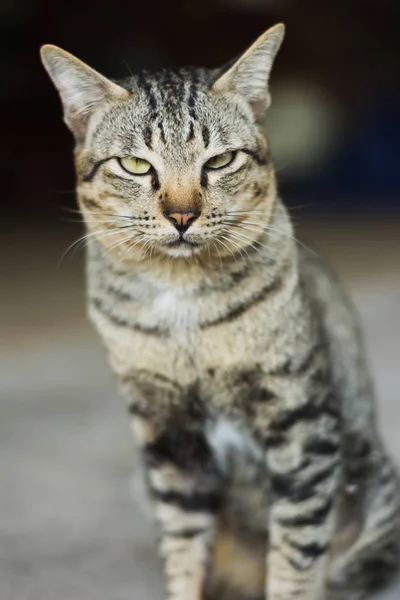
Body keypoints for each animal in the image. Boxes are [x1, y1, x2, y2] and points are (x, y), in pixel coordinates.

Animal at [41, 24, 400, 600]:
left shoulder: (301, 424)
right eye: (136, 165)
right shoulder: (168, 439)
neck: (182, 305)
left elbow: (296, 552)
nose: (182, 215)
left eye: (219, 161)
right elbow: (183, 547)